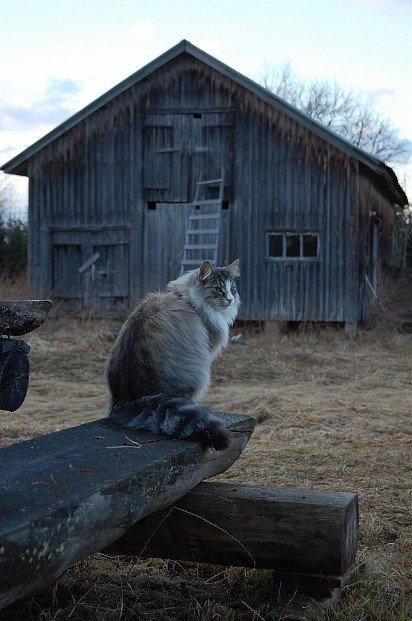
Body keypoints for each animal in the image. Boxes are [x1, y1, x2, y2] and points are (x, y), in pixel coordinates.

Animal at [105, 258, 241, 450]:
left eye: (232, 289)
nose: (230, 299)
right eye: (218, 289)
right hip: (199, 373)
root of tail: (127, 400)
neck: (189, 300)